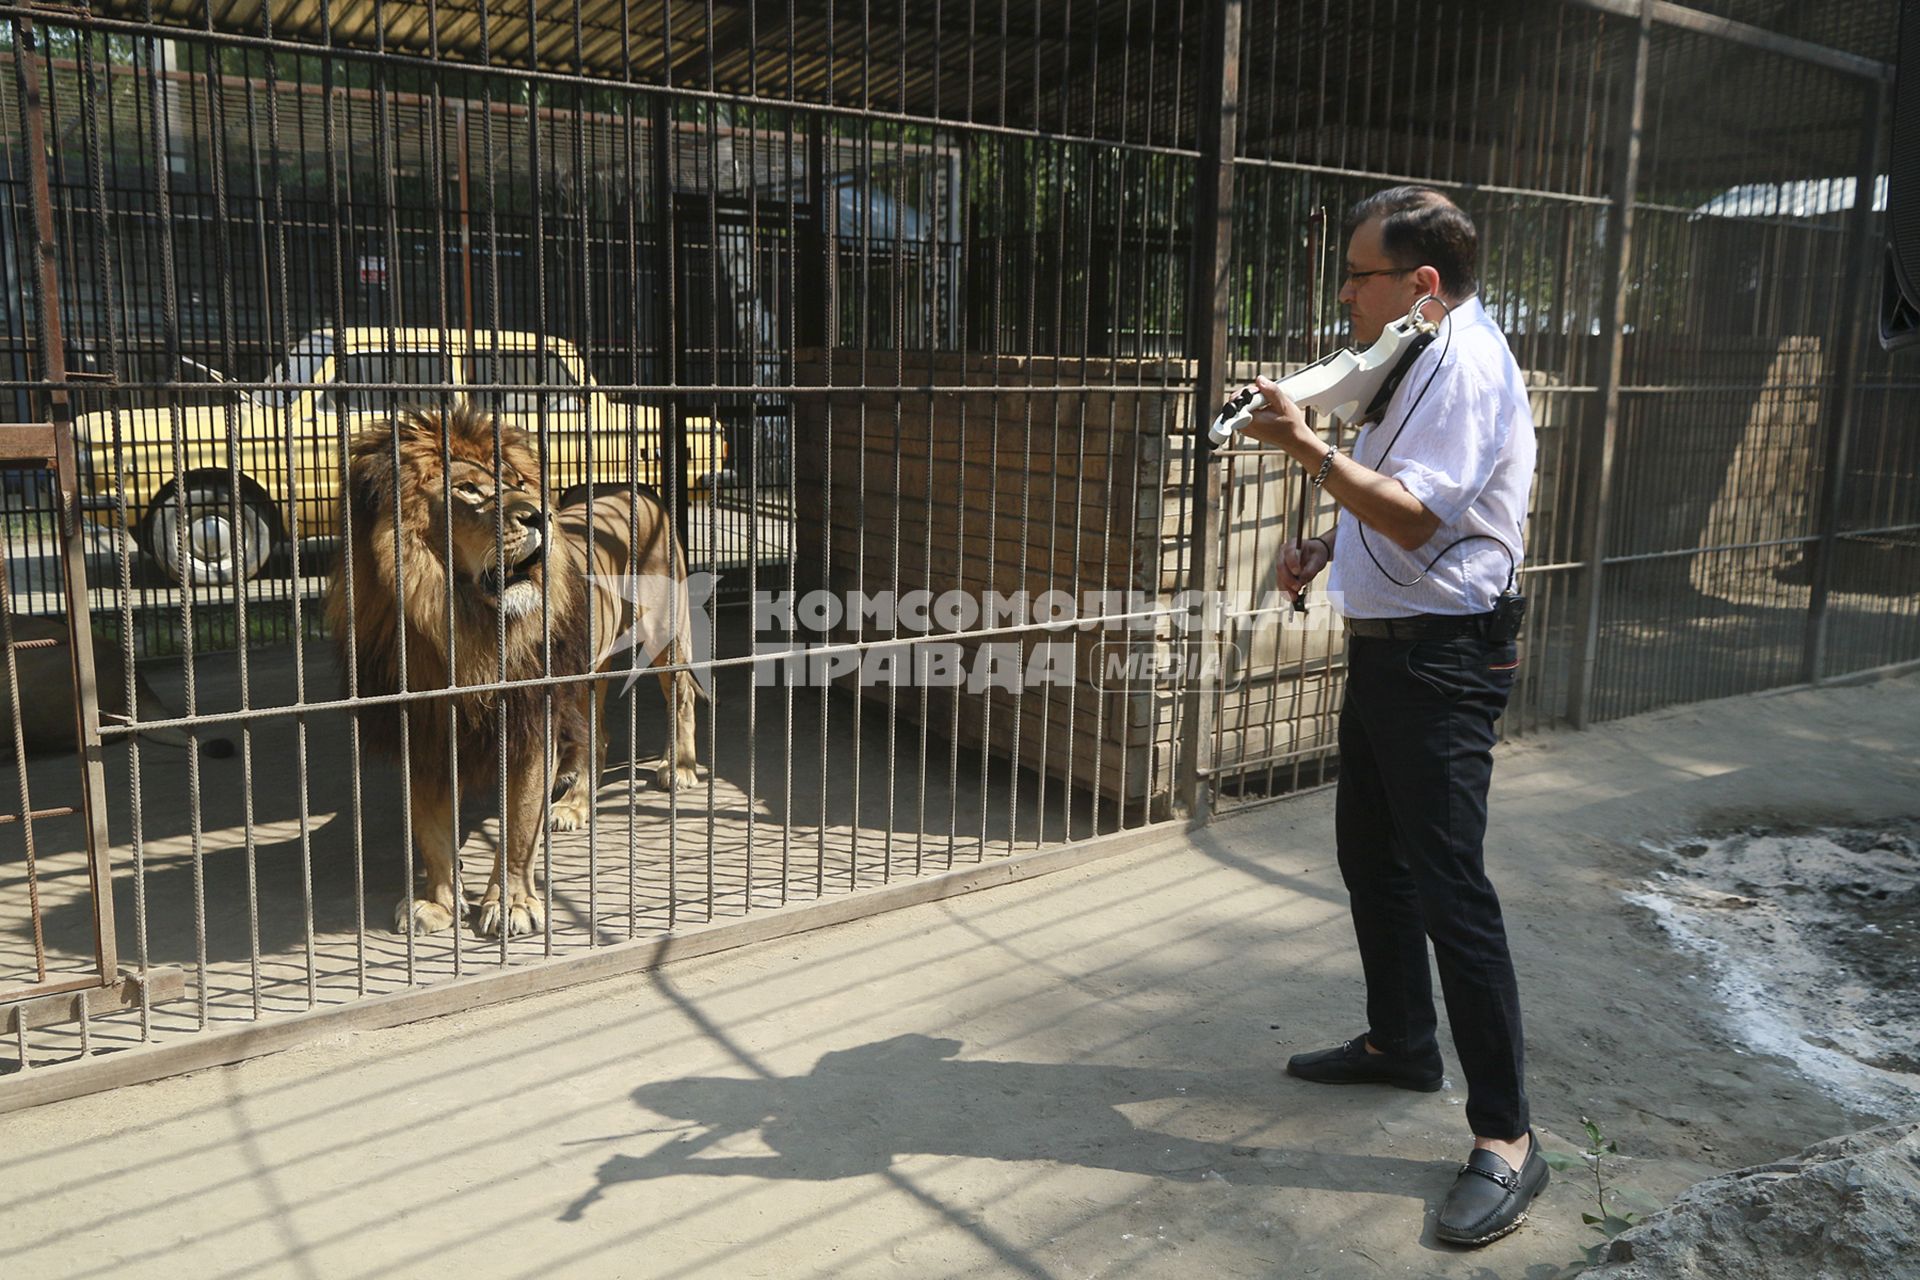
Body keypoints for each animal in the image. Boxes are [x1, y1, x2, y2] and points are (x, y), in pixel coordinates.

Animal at [330, 404, 706, 936]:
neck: (464, 627)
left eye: (517, 484)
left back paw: (680, 768)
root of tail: (635, 487)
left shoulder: (532, 720)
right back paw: (574, 805)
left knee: (684, 695)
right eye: (468, 489)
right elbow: (431, 831)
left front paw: (512, 905)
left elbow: (519, 823)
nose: (539, 515)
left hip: (662, 634)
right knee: (599, 735)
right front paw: (438, 904)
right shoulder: (424, 728)